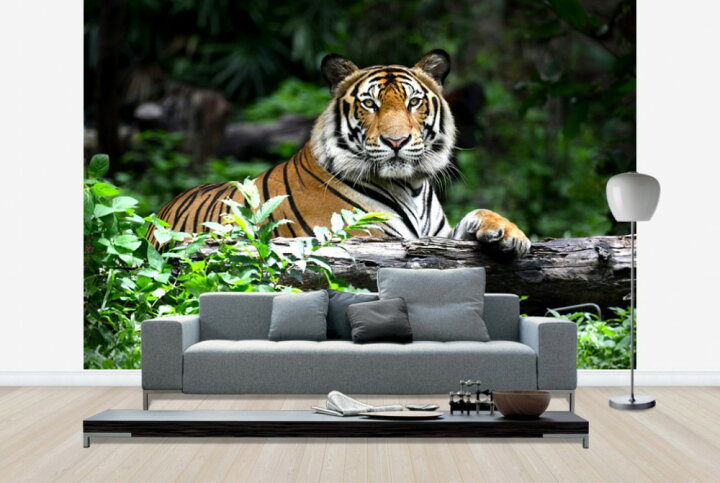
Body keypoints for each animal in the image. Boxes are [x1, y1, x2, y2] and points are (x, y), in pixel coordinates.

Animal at [155, 50, 531, 257]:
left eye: (413, 102)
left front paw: (510, 234)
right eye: (370, 104)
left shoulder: (436, 237)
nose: (396, 141)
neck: (411, 186)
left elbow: (477, 214)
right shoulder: (363, 238)